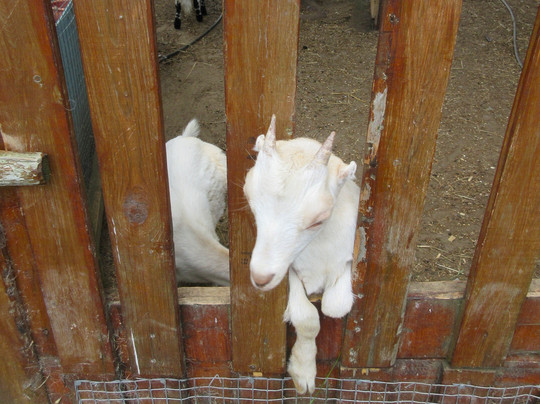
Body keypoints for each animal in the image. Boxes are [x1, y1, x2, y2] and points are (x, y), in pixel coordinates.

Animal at [243, 115, 360, 394]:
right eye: (250, 201)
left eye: (319, 219)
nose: (260, 278)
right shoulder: (291, 270)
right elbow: (306, 318)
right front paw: (303, 372)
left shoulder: (349, 257)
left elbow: (335, 307)